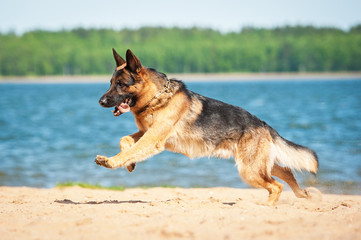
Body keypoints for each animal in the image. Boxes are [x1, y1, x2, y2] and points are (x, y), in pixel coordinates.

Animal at [95, 49, 318, 206]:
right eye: (110, 83)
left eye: (121, 84)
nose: (100, 101)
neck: (156, 97)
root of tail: (263, 124)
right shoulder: (146, 133)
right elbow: (125, 140)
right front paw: (129, 164)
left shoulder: (152, 138)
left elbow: (130, 149)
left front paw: (112, 161)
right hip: (258, 165)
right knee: (286, 172)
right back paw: (303, 194)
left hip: (250, 170)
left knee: (276, 185)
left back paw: (269, 206)